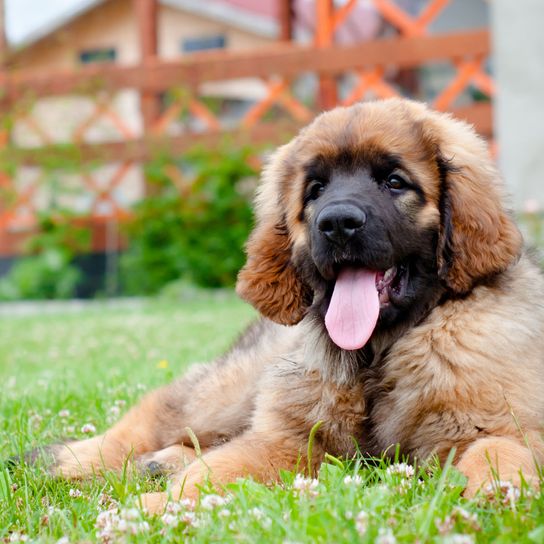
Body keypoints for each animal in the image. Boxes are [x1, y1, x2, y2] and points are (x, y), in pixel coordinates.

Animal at [42, 100, 544, 512]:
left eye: (394, 182)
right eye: (316, 189)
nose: (337, 224)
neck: (377, 354)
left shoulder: (498, 424)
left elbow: (499, 450)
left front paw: (498, 493)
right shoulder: (288, 439)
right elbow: (215, 470)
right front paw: (157, 508)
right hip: (228, 391)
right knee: (161, 411)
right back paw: (73, 461)